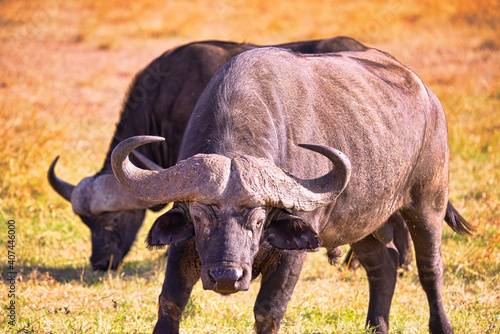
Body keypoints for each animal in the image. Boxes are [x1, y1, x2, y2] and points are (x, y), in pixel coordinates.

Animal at [112, 47, 472, 334]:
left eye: (258, 221)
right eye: (200, 219)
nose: (227, 276)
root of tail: (428, 96)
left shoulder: (293, 253)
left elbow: (268, 312)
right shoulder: (184, 245)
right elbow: (170, 302)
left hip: (427, 203)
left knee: (430, 269)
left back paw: (442, 325)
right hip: (361, 222)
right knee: (383, 266)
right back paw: (377, 326)